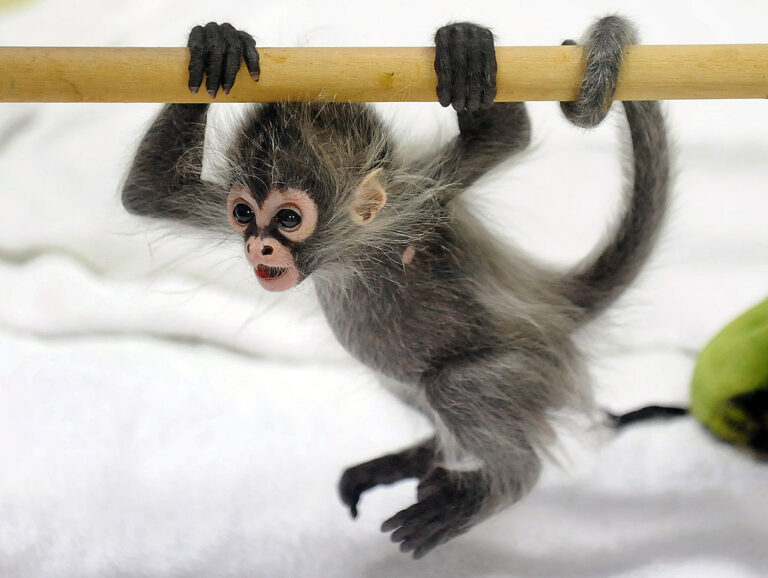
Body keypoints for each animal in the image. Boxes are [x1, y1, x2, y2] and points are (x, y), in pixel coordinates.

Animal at [122, 16, 669, 559]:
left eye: (289, 219)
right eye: (241, 213)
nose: (259, 247)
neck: (346, 256)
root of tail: (555, 311)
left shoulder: (418, 198)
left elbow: (507, 136)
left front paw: (466, 48)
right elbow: (148, 193)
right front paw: (218, 44)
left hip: (529, 369)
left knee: (456, 387)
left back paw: (500, 483)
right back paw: (420, 460)